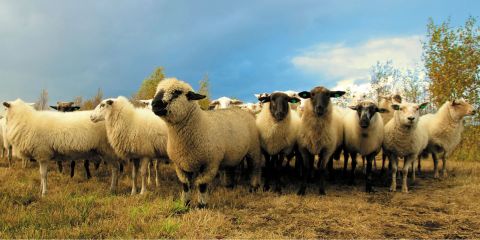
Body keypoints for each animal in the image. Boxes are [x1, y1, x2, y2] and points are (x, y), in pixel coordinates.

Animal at [152, 78, 262, 207]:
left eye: (176, 92)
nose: (154, 104)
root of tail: (243, 111)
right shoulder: (180, 165)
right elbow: (185, 185)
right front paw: (186, 204)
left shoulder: (210, 164)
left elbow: (202, 185)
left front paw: (202, 205)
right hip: (232, 153)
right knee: (231, 169)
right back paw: (229, 186)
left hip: (254, 149)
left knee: (254, 168)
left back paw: (253, 187)